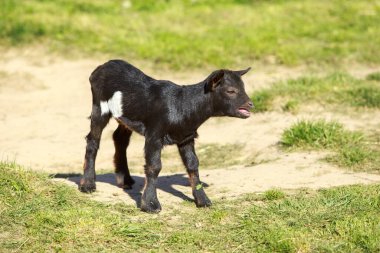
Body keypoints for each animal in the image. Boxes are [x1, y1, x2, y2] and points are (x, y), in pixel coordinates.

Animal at [79, 60, 252, 212]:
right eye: (230, 91)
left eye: (243, 87)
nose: (250, 104)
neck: (183, 105)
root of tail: (100, 68)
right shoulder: (154, 133)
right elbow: (154, 166)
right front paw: (150, 205)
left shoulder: (186, 137)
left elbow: (193, 164)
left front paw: (203, 201)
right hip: (99, 106)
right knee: (93, 140)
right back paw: (87, 185)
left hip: (125, 116)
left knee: (120, 139)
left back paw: (125, 180)